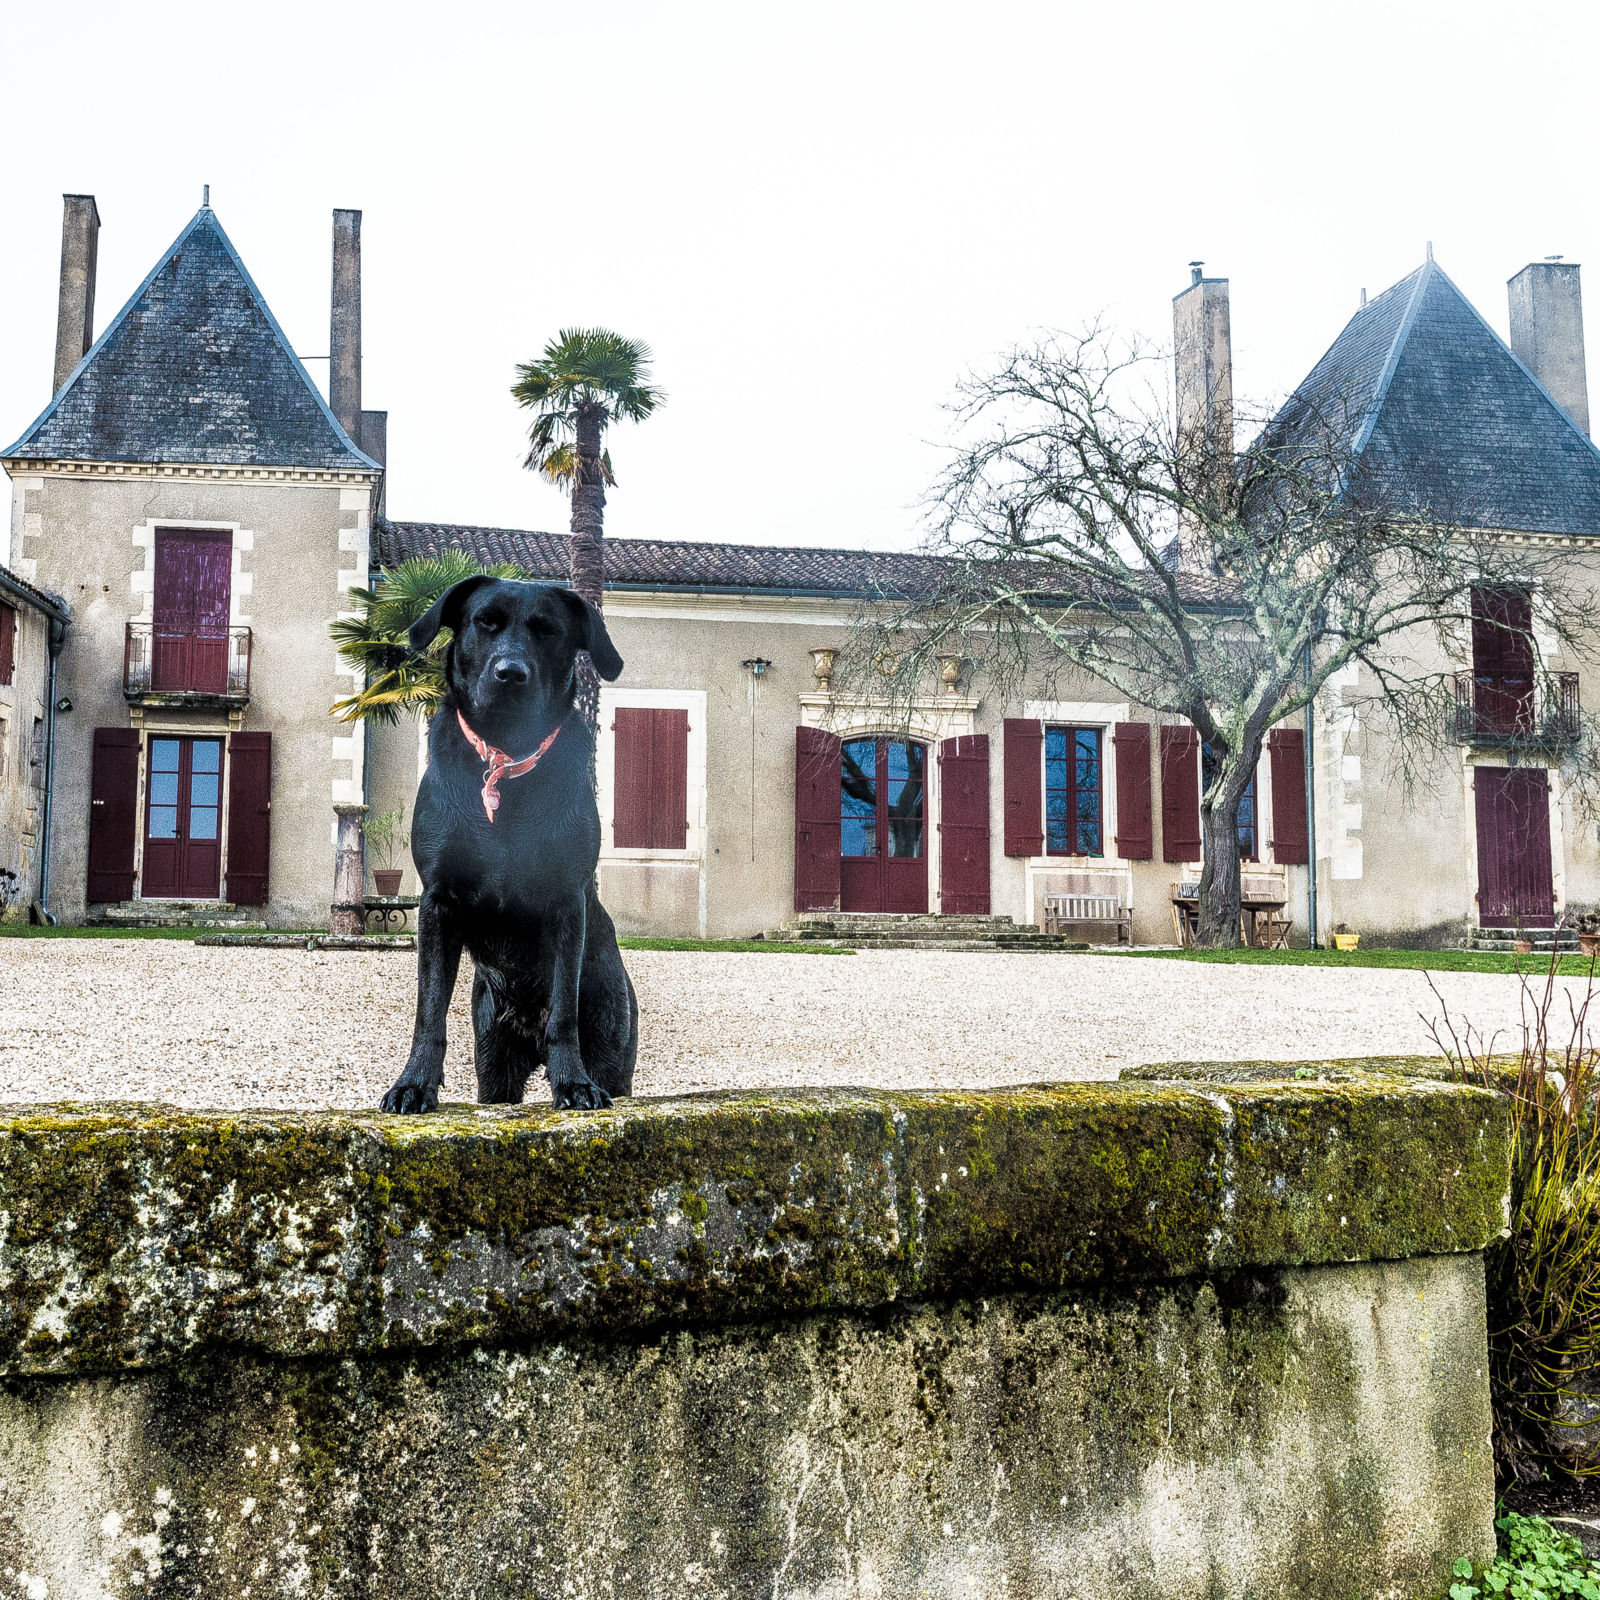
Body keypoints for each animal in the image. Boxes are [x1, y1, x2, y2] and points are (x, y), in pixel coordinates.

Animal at [379, 575, 639, 1115]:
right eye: (485, 622)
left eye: (547, 629)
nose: (510, 674)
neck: (509, 752)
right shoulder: (438, 903)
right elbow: (429, 1011)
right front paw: (414, 1084)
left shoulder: (566, 903)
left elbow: (563, 1012)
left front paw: (573, 1084)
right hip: (494, 1063)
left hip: (612, 1041)